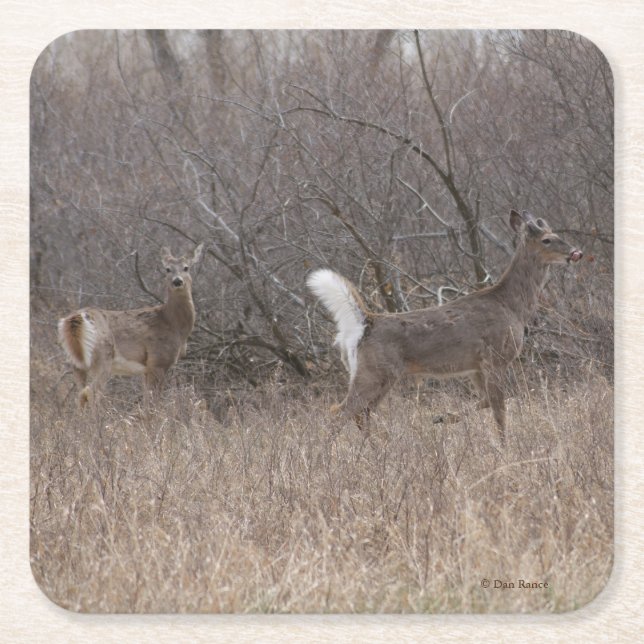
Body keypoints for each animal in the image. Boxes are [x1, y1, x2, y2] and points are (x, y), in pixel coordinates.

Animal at [58, 243, 204, 408]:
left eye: (186, 267)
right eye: (167, 269)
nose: (177, 281)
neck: (173, 323)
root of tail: (74, 319)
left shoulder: (147, 369)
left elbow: (147, 400)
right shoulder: (158, 361)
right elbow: (154, 402)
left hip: (76, 363)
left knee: (80, 394)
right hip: (103, 357)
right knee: (91, 393)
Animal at [307, 209, 583, 445]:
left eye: (556, 234)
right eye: (547, 240)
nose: (575, 253)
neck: (512, 306)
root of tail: (364, 322)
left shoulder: (475, 366)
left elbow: (485, 401)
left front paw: (442, 417)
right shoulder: (495, 357)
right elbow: (499, 410)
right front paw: (505, 447)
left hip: (379, 375)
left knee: (361, 413)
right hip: (374, 372)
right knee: (340, 411)